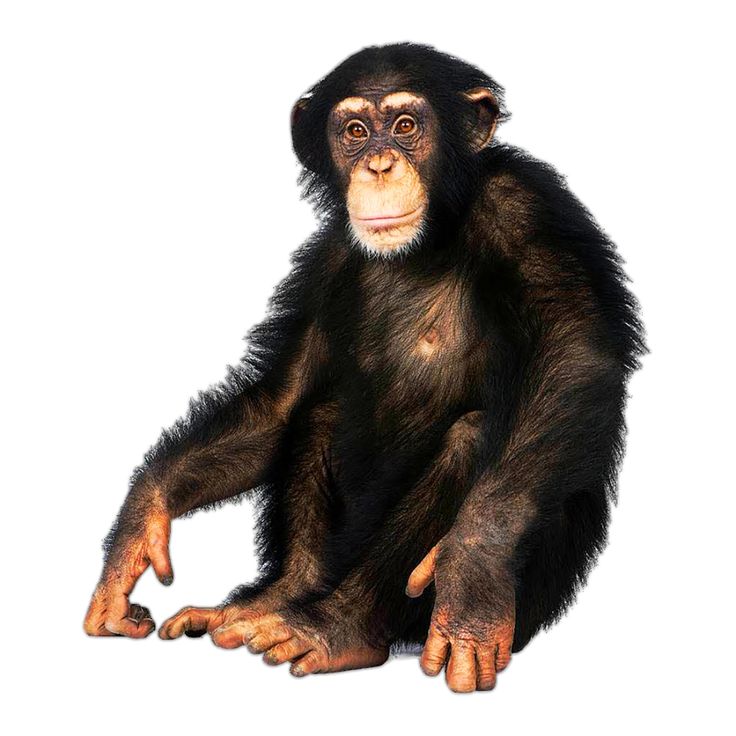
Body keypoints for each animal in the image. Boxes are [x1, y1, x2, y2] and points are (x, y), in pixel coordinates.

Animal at [84, 43, 644, 693]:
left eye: (404, 126)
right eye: (354, 131)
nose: (378, 164)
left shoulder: (526, 208)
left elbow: (574, 352)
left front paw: (473, 571)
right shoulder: (326, 258)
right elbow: (281, 399)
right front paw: (138, 524)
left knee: (470, 437)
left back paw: (336, 628)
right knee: (317, 413)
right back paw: (273, 602)